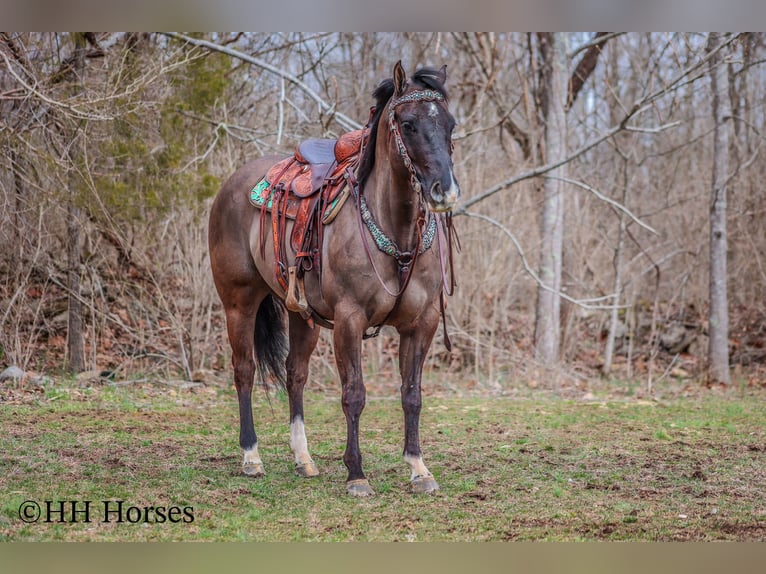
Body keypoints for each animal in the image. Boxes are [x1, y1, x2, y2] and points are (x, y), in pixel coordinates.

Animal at [210, 62, 460, 496]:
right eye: (408, 124)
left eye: (451, 124)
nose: (443, 191)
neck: (395, 230)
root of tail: (232, 184)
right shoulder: (349, 319)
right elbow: (354, 395)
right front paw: (356, 473)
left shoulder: (422, 323)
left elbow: (412, 395)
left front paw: (418, 467)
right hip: (238, 303)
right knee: (244, 371)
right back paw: (251, 457)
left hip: (301, 315)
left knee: (295, 374)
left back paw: (303, 459)